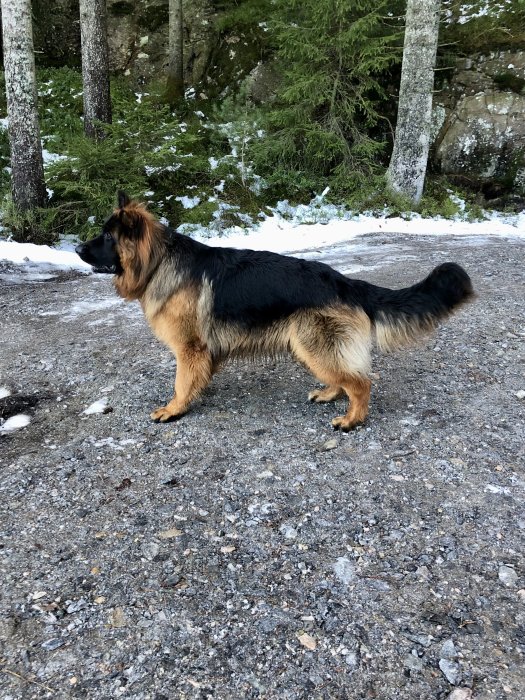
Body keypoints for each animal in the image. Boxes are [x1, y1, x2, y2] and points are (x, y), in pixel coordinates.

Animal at [75, 193, 472, 432]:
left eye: (107, 237)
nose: (77, 249)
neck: (158, 261)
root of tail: (345, 282)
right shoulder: (204, 352)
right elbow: (196, 378)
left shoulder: (189, 348)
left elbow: (180, 382)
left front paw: (174, 408)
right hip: (312, 347)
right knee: (345, 378)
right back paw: (330, 394)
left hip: (313, 345)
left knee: (361, 383)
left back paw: (351, 420)